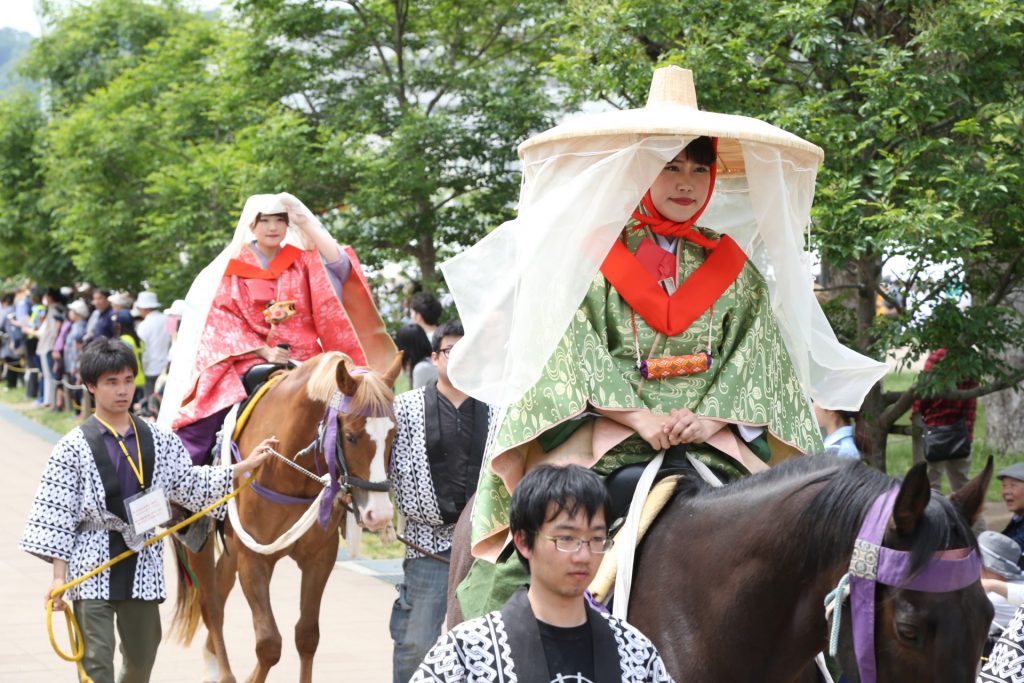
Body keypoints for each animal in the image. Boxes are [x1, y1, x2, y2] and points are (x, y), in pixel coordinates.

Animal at [174, 352, 401, 683]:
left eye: (393, 434)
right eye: (350, 436)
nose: (379, 513)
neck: (289, 468)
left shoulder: (319, 557)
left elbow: (307, 636)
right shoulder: (255, 559)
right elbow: (269, 643)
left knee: (221, 585)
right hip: (198, 536)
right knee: (211, 604)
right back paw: (223, 672)